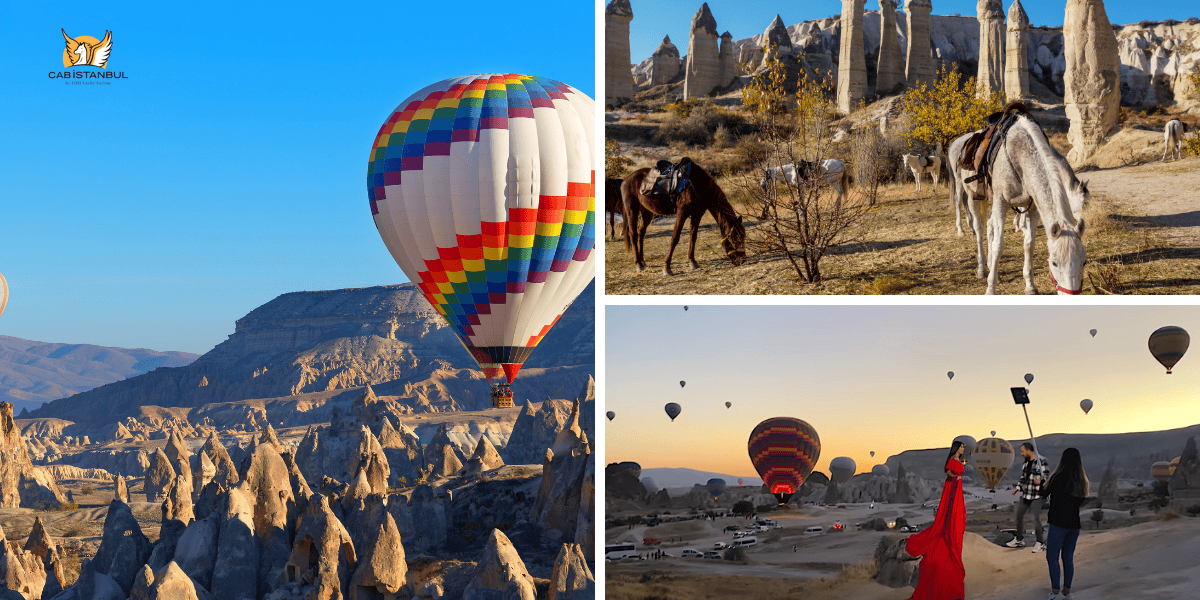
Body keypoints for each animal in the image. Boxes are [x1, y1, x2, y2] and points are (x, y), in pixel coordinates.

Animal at [950, 113, 1094, 294]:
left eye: (1084, 261)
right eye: (1054, 262)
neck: (1019, 154)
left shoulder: (1032, 209)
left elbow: (1029, 244)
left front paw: (1030, 285)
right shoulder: (1001, 203)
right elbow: (998, 245)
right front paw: (991, 289)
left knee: (989, 226)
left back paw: (992, 268)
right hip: (971, 195)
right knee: (979, 227)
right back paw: (982, 268)